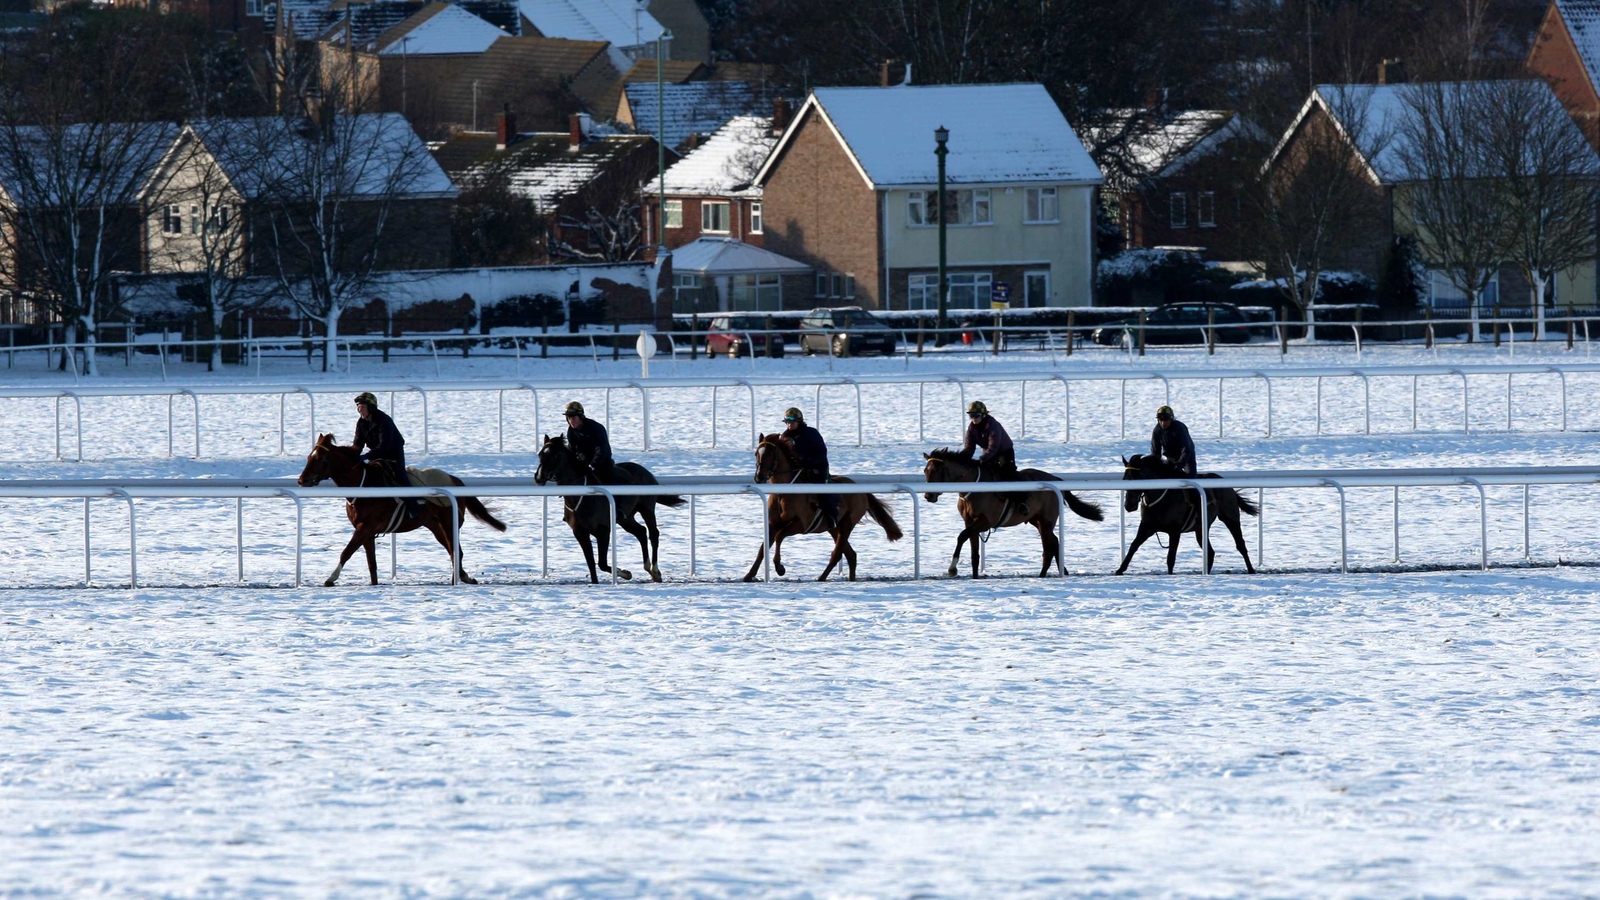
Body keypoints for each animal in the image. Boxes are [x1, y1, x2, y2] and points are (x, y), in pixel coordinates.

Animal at [296, 432, 505, 586]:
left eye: (320, 458)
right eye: (308, 457)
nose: (301, 480)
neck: (364, 485)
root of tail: (456, 480)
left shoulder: (366, 527)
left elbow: (346, 551)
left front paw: (330, 579)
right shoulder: (366, 531)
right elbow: (371, 563)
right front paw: (374, 583)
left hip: (448, 522)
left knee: (455, 551)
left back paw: (457, 579)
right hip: (436, 526)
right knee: (453, 551)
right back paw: (463, 577)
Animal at [531, 435, 681, 582]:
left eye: (555, 455)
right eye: (540, 454)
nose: (538, 477)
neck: (580, 496)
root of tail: (647, 473)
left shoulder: (603, 530)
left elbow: (601, 563)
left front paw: (625, 573)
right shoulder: (580, 532)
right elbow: (591, 563)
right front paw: (597, 581)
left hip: (647, 509)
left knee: (653, 534)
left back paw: (655, 571)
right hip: (626, 518)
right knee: (641, 532)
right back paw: (647, 567)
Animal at [745, 435, 908, 582]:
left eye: (770, 454)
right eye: (756, 453)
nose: (758, 477)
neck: (784, 493)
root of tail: (861, 490)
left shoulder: (802, 525)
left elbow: (779, 536)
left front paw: (780, 568)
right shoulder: (773, 524)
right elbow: (762, 548)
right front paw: (749, 575)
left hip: (847, 523)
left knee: (838, 554)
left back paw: (821, 578)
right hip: (834, 527)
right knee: (851, 554)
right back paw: (848, 579)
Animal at [928, 445, 1100, 576]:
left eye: (936, 471)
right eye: (925, 471)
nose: (928, 495)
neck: (974, 487)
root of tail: (1055, 479)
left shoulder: (984, 522)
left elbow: (961, 536)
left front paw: (952, 568)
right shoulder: (969, 522)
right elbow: (973, 552)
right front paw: (974, 576)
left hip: (1046, 520)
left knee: (1048, 548)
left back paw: (1042, 575)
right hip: (1036, 520)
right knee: (1055, 542)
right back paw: (1062, 571)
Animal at [1113, 451, 1260, 570]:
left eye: (1139, 475)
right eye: (1125, 478)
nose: (1129, 505)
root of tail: (1227, 485)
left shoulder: (1175, 531)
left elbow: (1170, 558)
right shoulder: (1147, 526)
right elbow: (1133, 546)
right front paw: (1119, 570)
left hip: (1230, 518)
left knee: (1240, 544)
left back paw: (1251, 570)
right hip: (1201, 529)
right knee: (1210, 552)